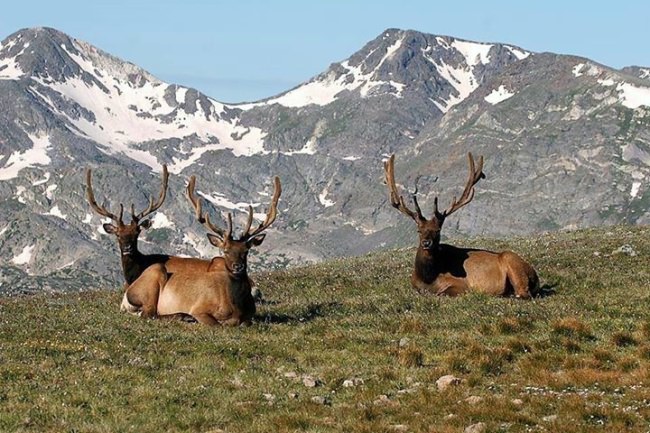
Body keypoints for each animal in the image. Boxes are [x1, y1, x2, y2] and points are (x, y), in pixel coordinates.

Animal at [122, 175, 282, 325]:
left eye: (246, 251)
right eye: (225, 251)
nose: (238, 266)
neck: (237, 308)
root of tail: (125, 296)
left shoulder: (249, 317)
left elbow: (246, 323)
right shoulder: (199, 309)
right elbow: (217, 324)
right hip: (155, 275)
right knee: (149, 314)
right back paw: (183, 316)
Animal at [384, 153, 539, 298]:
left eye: (438, 230)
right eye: (419, 230)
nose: (426, 243)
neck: (428, 279)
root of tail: (536, 277)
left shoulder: (462, 285)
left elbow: (442, 293)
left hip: (511, 261)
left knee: (523, 293)